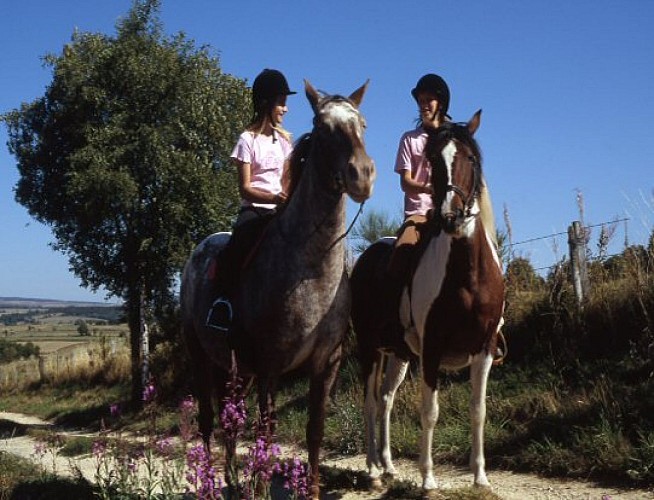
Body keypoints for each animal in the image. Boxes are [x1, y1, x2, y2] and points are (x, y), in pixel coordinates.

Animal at [352, 111, 504, 490]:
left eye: (471, 158)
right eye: (432, 161)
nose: (451, 217)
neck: (467, 276)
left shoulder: (484, 349)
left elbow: (478, 411)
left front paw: (480, 477)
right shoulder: (433, 349)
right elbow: (430, 412)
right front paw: (428, 479)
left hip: (399, 355)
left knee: (385, 399)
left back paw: (388, 466)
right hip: (369, 348)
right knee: (370, 402)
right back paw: (372, 470)